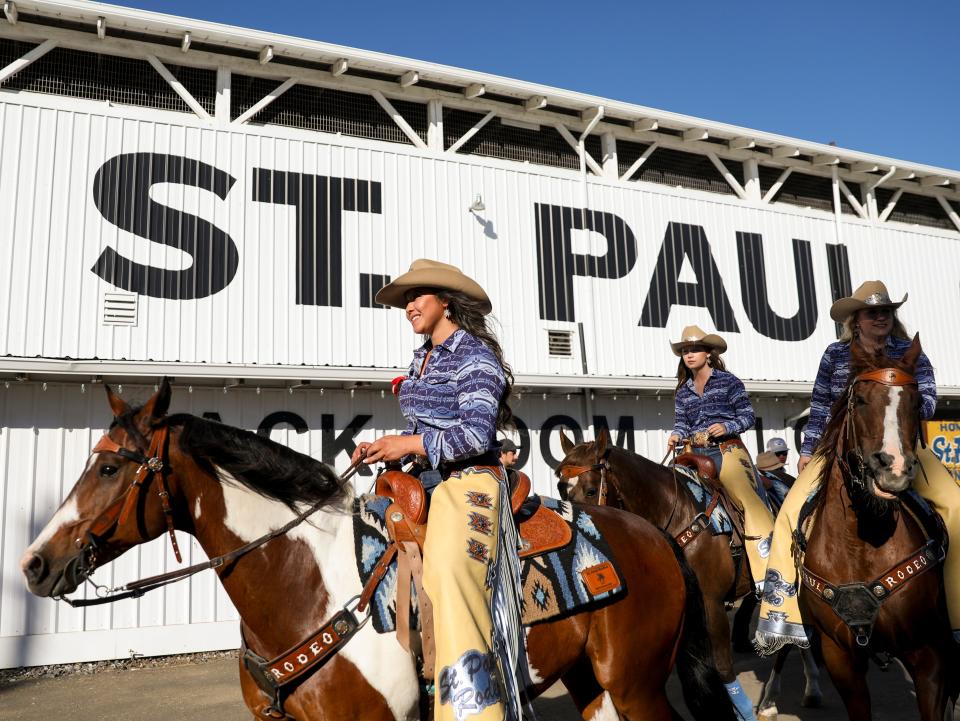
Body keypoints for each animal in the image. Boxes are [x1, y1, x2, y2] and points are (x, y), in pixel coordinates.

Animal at [20, 382, 736, 720]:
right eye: (92, 460)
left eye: (111, 468)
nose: (34, 564)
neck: (307, 589)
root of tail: (655, 536)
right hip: (593, 681)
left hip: (636, 683)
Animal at [556, 430, 824, 716]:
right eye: (561, 489)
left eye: (591, 490)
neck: (677, 515)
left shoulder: (711, 602)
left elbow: (721, 666)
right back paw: (809, 689)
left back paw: (772, 700)